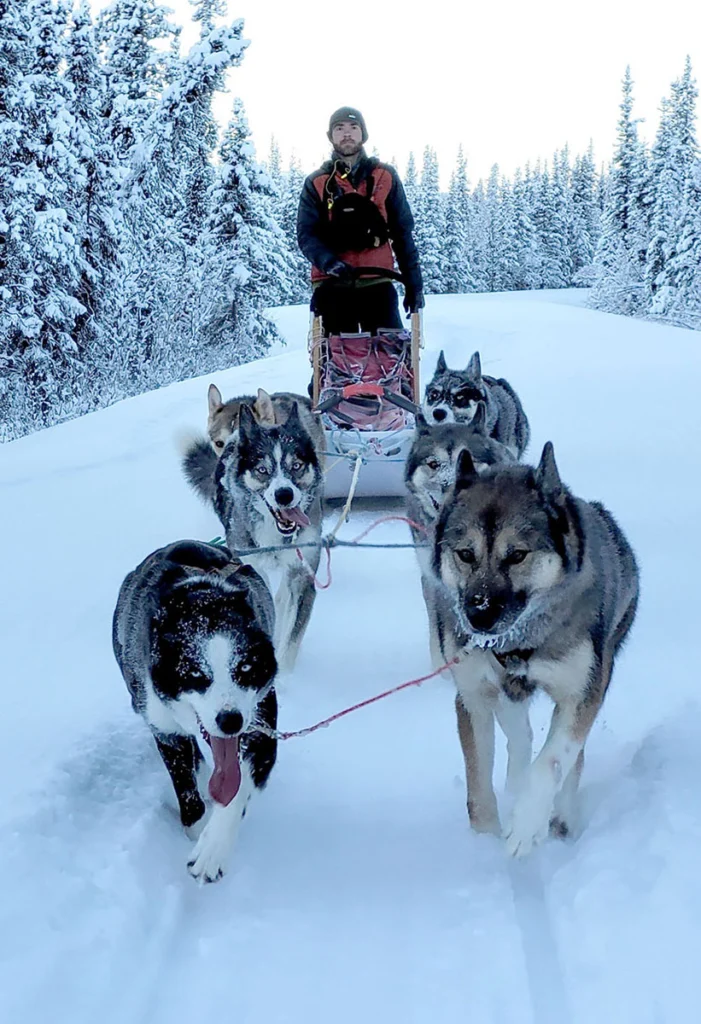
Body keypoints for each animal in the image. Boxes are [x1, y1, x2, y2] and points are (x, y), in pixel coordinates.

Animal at [113, 540, 278, 884]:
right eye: (195, 674)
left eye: (246, 668)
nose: (230, 721)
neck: (203, 600)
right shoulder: (164, 727)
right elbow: (184, 784)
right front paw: (197, 825)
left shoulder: (262, 723)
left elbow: (238, 787)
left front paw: (212, 848)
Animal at [180, 403, 323, 675]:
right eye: (262, 470)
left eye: (296, 466)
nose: (284, 495)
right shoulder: (250, 565)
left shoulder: (303, 573)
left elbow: (292, 638)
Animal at [429, 444, 638, 851]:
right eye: (465, 554)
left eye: (517, 555)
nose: (478, 616)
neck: (519, 642)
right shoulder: (474, 696)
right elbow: (479, 783)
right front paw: (483, 842)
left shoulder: (581, 694)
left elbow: (556, 760)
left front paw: (526, 825)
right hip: (504, 692)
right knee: (519, 735)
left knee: (570, 757)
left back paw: (561, 816)